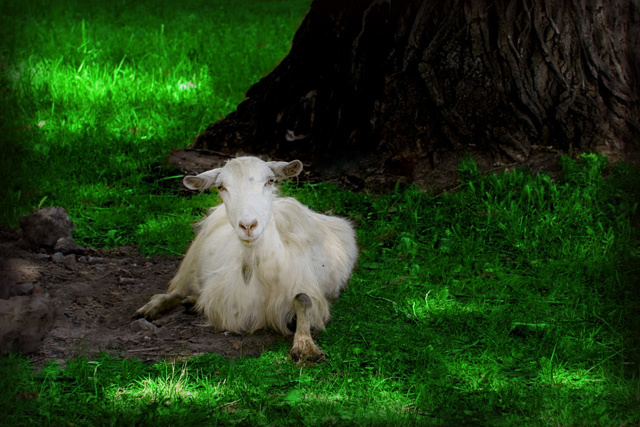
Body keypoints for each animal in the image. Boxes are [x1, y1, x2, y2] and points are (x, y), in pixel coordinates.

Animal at [135, 156, 358, 362]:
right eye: (221, 186)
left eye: (270, 180)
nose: (248, 225)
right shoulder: (228, 306)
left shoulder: (312, 291)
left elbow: (302, 299)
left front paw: (305, 346)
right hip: (191, 261)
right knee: (177, 290)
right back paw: (152, 308)